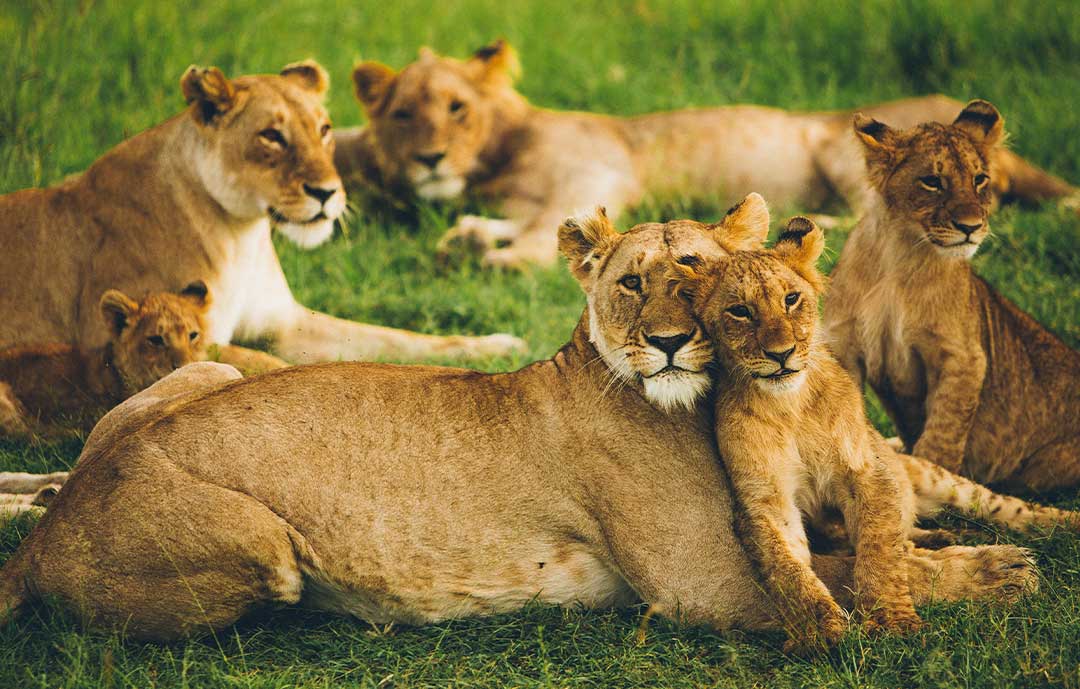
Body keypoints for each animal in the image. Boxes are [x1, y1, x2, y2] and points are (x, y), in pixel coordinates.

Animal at [0, 60, 522, 367]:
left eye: (324, 129)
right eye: (272, 136)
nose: (327, 193)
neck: (240, 234)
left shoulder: (285, 324)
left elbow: (398, 337)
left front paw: (497, 345)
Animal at [0, 198, 1036, 643]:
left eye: (699, 272)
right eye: (634, 283)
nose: (669, 342)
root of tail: (50, 532)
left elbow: (870, 540)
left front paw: (948, 540)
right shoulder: (701, 586)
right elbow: (840, 576)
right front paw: (998, 571)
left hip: (203, 365)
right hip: (269, 549)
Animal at [820, 99, 1080, 494]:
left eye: (979, 179)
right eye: (932, 181)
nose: (971, 227)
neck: (899, 257)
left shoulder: (963, 356)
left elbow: (943, 433)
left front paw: (933, 483)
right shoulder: (843, 345)